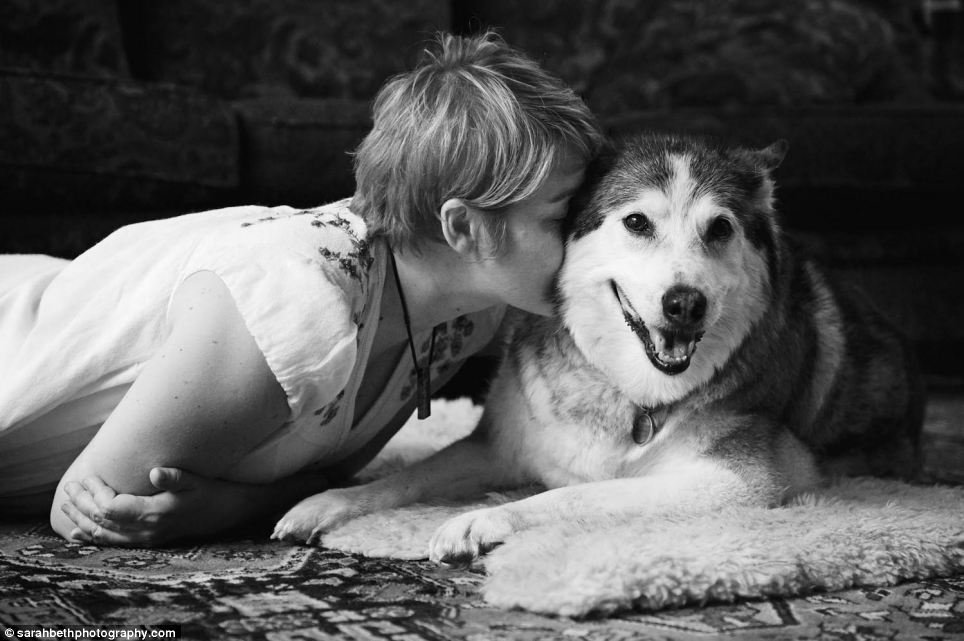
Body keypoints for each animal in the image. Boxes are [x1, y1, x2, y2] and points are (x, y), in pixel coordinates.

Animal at [272, 134, 928, 560]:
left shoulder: (746, 480)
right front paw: (324, 502)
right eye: (637, 223)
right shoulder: (498, 445)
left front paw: (482, 517)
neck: (630, 390)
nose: (685, 304)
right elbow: (409, 476)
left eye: (720, 229)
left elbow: (581, 493)